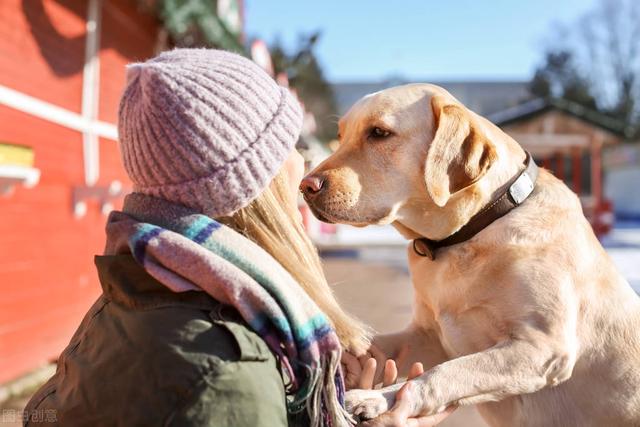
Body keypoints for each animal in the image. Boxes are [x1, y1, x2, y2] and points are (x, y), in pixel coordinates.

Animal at [300, 84, 640, 427]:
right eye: (341, 135)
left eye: (379, 133)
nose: (305, 186)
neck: (466, 235)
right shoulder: (429, 336)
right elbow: (380, 347)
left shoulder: (544, 347)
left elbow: (441, 375)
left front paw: (378, 398)